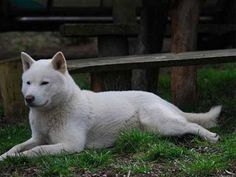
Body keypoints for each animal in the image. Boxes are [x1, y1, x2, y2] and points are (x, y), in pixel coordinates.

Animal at [0, 51, 221, 160]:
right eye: (28, 83)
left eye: (44, 83)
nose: (29, 98)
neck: (52, 112)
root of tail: (163, 100)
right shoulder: (37, 137)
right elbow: (17, 146)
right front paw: (6, 156)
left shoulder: (71, 145)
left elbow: (36, 151)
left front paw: (19, 158)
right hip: (157, 129)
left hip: (161, 123)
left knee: (193, 125)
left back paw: (211, 137)